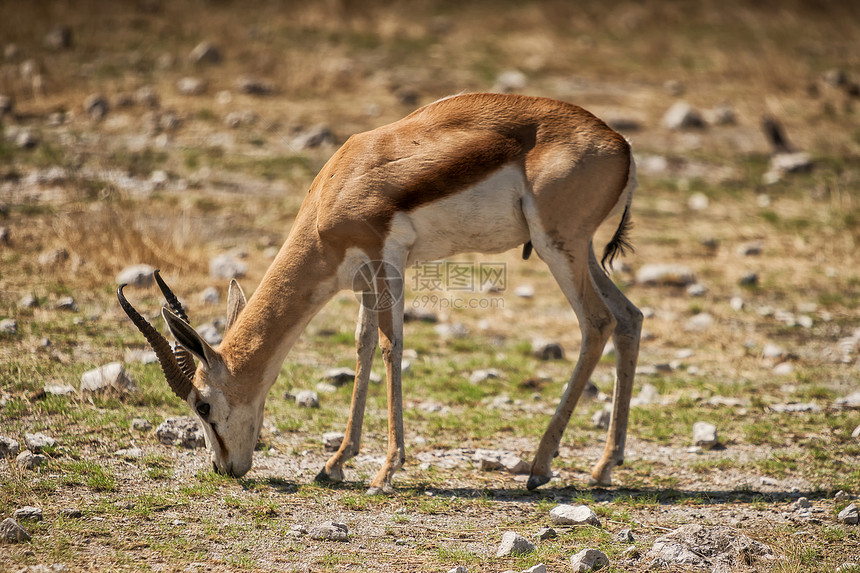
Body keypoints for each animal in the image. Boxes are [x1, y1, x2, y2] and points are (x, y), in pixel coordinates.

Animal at [122, 92, 644, 492]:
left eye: (203, 405)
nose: (223, 469)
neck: (333, 193)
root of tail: (621, 145)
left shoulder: (386, 260)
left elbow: (393, 346)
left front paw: (385, 470)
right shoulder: (361, 279)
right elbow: (364, 345)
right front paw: (335, 463)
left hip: (559, 247)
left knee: (597, 321)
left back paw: (540, 467)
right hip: (582, 251)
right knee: (630, 316)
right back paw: (603, 467)